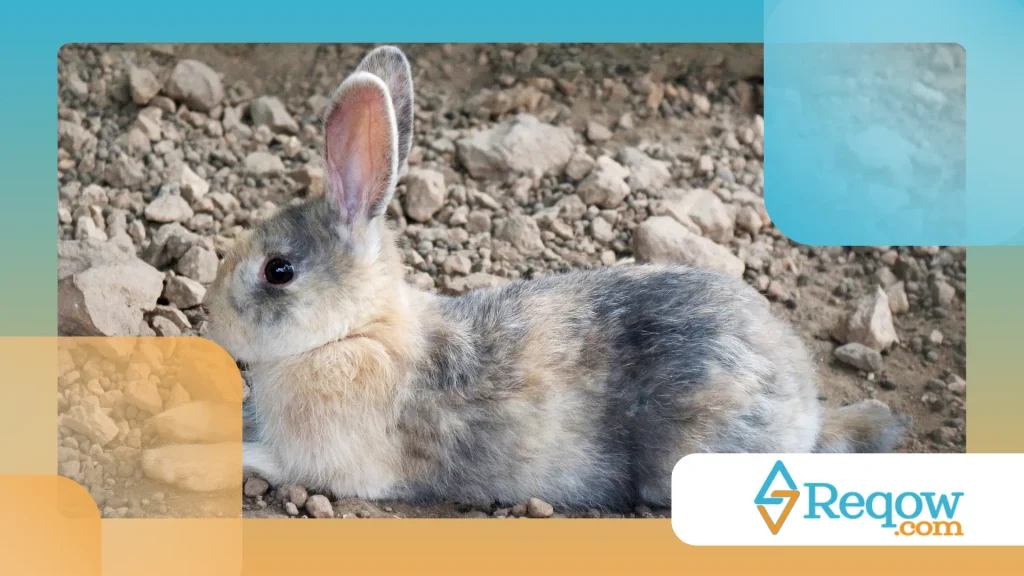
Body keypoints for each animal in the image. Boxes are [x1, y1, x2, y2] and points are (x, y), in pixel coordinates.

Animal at [202, 45, 908, 511]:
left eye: (278, 270)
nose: (211, 319)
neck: (354, 332)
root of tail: (806, 411)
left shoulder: (315, 461)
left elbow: (249, 454)